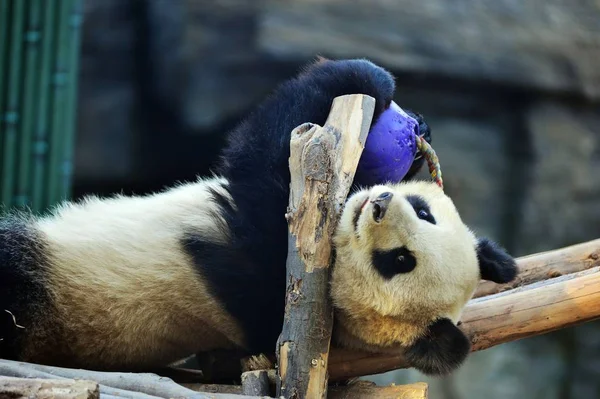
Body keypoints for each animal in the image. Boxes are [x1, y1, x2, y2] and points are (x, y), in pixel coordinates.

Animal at [0, 57, 516, 376]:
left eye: (399, 261)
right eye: (426, 213)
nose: (379, 205)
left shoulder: (276, 264)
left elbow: (264, 162)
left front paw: (362, 77)